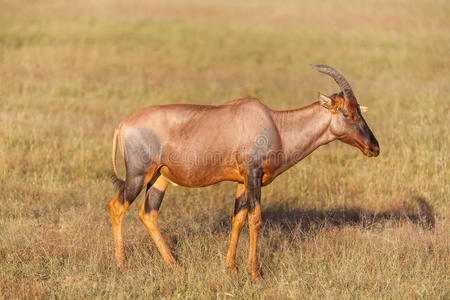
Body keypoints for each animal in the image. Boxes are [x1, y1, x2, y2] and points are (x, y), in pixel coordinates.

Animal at [109, 64, 380, 280]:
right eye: (349, 113)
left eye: (359, 111)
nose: (374, 147)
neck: (275, 124)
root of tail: (122, 125)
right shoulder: (253, 175)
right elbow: (255, 219)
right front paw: (255, 273)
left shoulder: (242, 181)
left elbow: (238, 219)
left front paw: (231, 268)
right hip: (138, 175)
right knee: (117, 207)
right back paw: (122, 265)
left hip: (159, 178)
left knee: (148, 214)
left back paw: (174, 265)